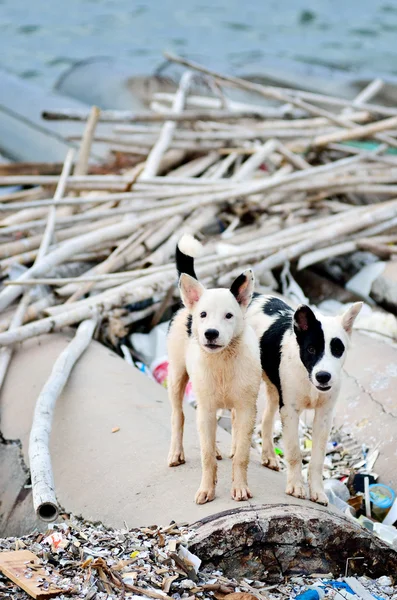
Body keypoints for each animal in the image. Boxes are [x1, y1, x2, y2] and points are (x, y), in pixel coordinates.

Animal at [166, 237, 262, 504]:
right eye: (203, 315)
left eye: (229, 316)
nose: (210, 333)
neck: (222, 361)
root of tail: (185, 306)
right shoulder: (206, 408)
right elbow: (206, 455)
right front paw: (207, 489)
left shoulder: (246, 407)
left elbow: (241, 454)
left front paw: (239, 487)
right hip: (176, 376)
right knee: (178, 416)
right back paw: (176, 452)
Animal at [248, 296, 362, 506]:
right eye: (311, 349)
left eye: (338, 350)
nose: (323, 376)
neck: (308, 378)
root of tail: (256, 296)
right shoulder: (290, 411)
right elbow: (294, 452)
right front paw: (295, 486)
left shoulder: (324, 416)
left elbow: (317, 459)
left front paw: (317, 491)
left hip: (275, 390)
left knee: (266, 419)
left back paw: (269, 455)